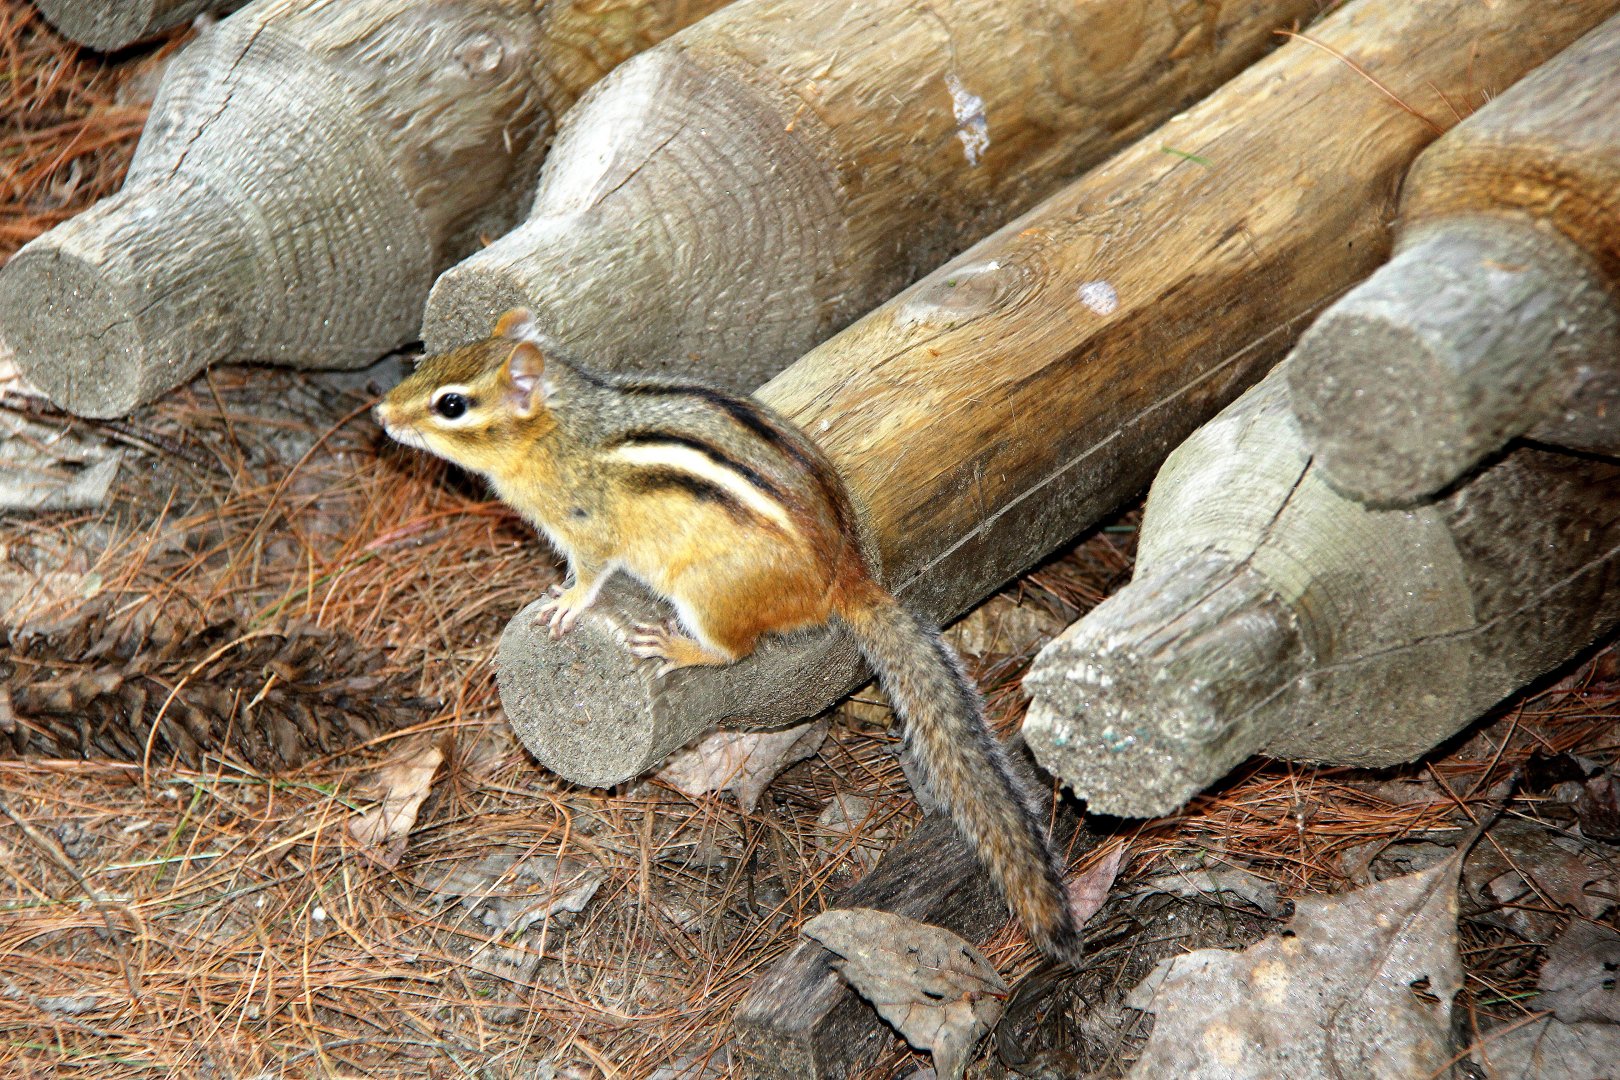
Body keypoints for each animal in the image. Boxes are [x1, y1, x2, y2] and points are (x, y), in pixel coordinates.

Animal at [375, 308, 1082, 965]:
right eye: (426, 365)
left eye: (452, 404)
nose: (381, 413)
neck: (562, 429)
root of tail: (846, 578)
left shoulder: (588, 530)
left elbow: (592, 573)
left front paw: (569, 600)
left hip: (707, 593)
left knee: (734, 650)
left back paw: (677, 647)